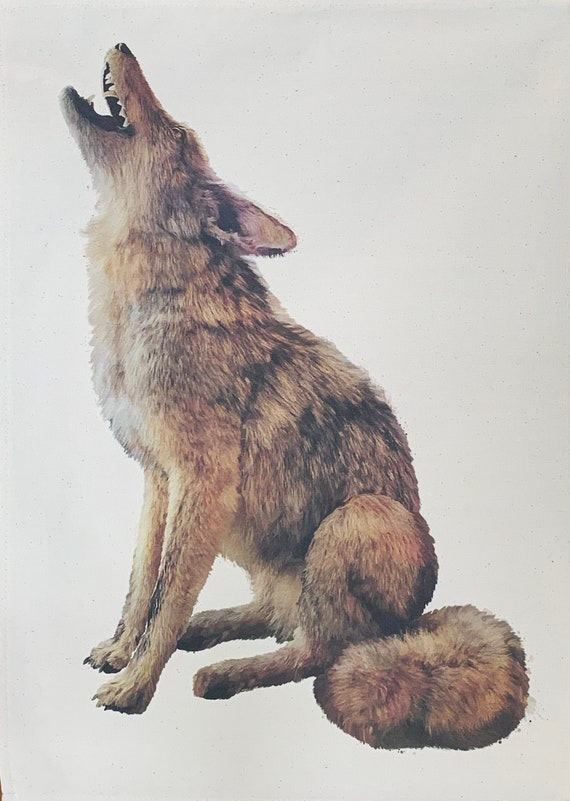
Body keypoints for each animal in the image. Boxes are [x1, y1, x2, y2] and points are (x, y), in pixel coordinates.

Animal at [60, 44, 528, 748]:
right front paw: (122, 653)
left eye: (179, 133)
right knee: (277, 616)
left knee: (320, 649)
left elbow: (166, 598)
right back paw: (211, 632)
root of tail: (412, 623)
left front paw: (135, 689)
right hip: (261, 552)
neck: (143, 302)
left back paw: (222, 672)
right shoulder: (157, 479)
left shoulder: (203, 481)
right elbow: (143, 584)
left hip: (353, 519)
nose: (123, 45)